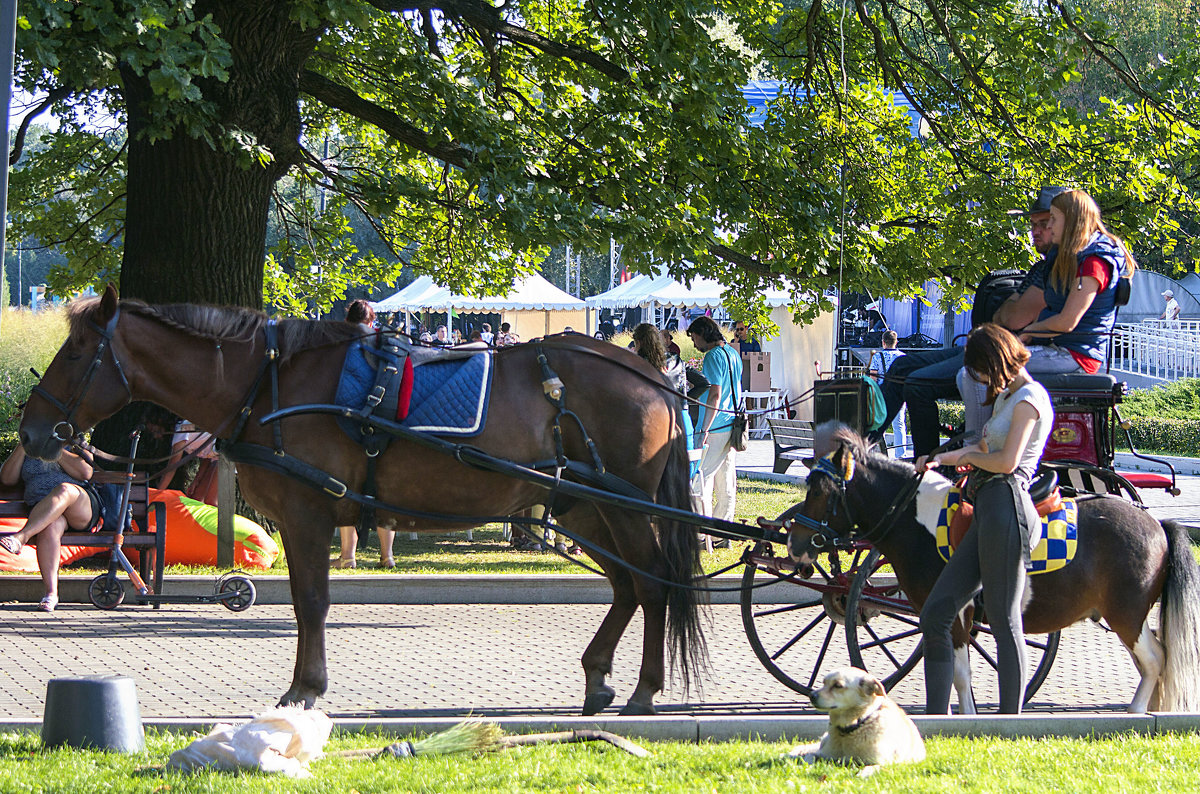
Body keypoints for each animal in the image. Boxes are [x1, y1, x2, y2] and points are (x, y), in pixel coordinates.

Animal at [18, 287, 705, 719]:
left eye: (76, 351)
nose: (29, 430)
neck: (269, 381)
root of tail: (651, 376)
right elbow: (309, 602)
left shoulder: (307, 515)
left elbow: (311, 602)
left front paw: (304, 688)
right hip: (584, 506)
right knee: (627, 586)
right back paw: (599, 675)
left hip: (625, 508)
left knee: (654, 585)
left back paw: (645, 689)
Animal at [787, 422, 1200, 714]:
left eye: (820, 491)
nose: (794, 543)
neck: (920, 521)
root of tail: (1157, 524)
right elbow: (960, 675)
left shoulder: (954, 615)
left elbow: (960, 674)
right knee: (1152, 662)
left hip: (1126, 614)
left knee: (1155, 659)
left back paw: (1135, 711)